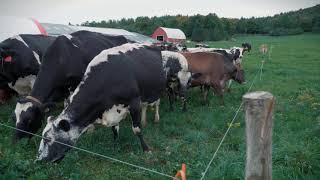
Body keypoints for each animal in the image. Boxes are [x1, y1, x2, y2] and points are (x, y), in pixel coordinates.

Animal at [36, 43, 166, 162]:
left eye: (48, 139)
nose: (38, 160)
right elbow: (115, 129)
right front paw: (115, 147)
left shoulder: (134, 101)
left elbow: (137, 129)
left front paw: (146, 150)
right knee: (144, 106)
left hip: (156, 91)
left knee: (156, 104)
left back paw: (156, 118)